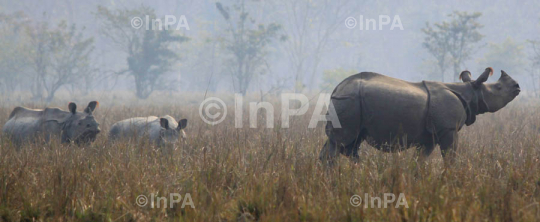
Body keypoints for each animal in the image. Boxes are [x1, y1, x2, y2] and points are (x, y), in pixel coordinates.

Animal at [320, 68, 520, 165]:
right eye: (498, 88)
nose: (517, 86)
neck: (470, 90)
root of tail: (336, 89)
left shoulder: (430, 135)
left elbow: (420, 159)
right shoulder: (449, 129)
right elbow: (450, 156)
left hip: (350, 102)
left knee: (346, 143)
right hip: (350, 100)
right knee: (341, 142)